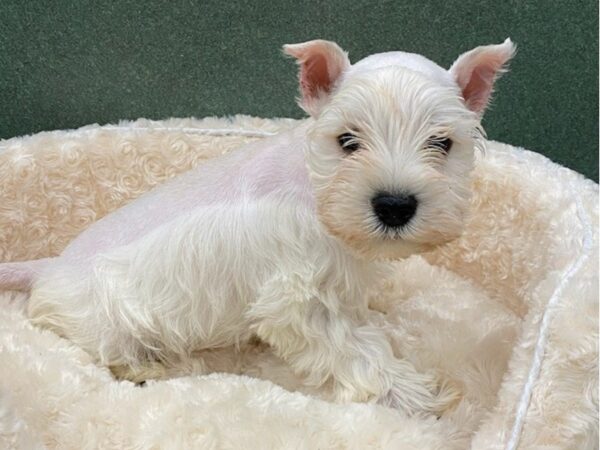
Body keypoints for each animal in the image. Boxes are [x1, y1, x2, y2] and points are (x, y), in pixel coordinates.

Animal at [1, 38, 516, 414]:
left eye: (442, 143)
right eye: (347, 140)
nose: (394, 205)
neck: (316, 191)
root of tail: (48, 267)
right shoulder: (297, 303)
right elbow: (355, 351)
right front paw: (414, 395)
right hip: (109, 326)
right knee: (117, 355)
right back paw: (161, 367)